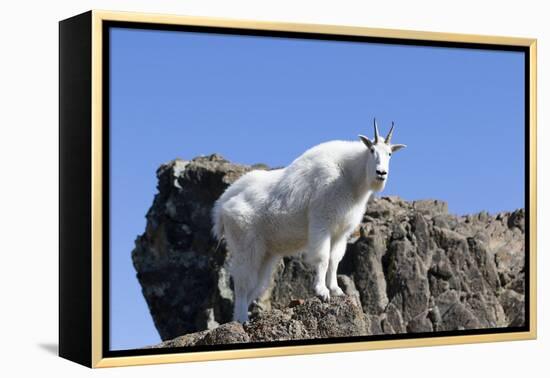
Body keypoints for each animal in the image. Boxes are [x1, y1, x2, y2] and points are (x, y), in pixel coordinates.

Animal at [213, 119, 408, 322]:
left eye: (390, 153)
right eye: (371, 150)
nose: (381, 173)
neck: (349, 177)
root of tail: (222, 206)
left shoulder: (341, 232)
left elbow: (335, 259)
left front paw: (336, 290)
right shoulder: (321, 222)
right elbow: (322, 257)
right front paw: (322, 291)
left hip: (266, 252)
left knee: (256, 284)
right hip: (245, 243)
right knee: (242, 281)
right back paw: (242, 319)